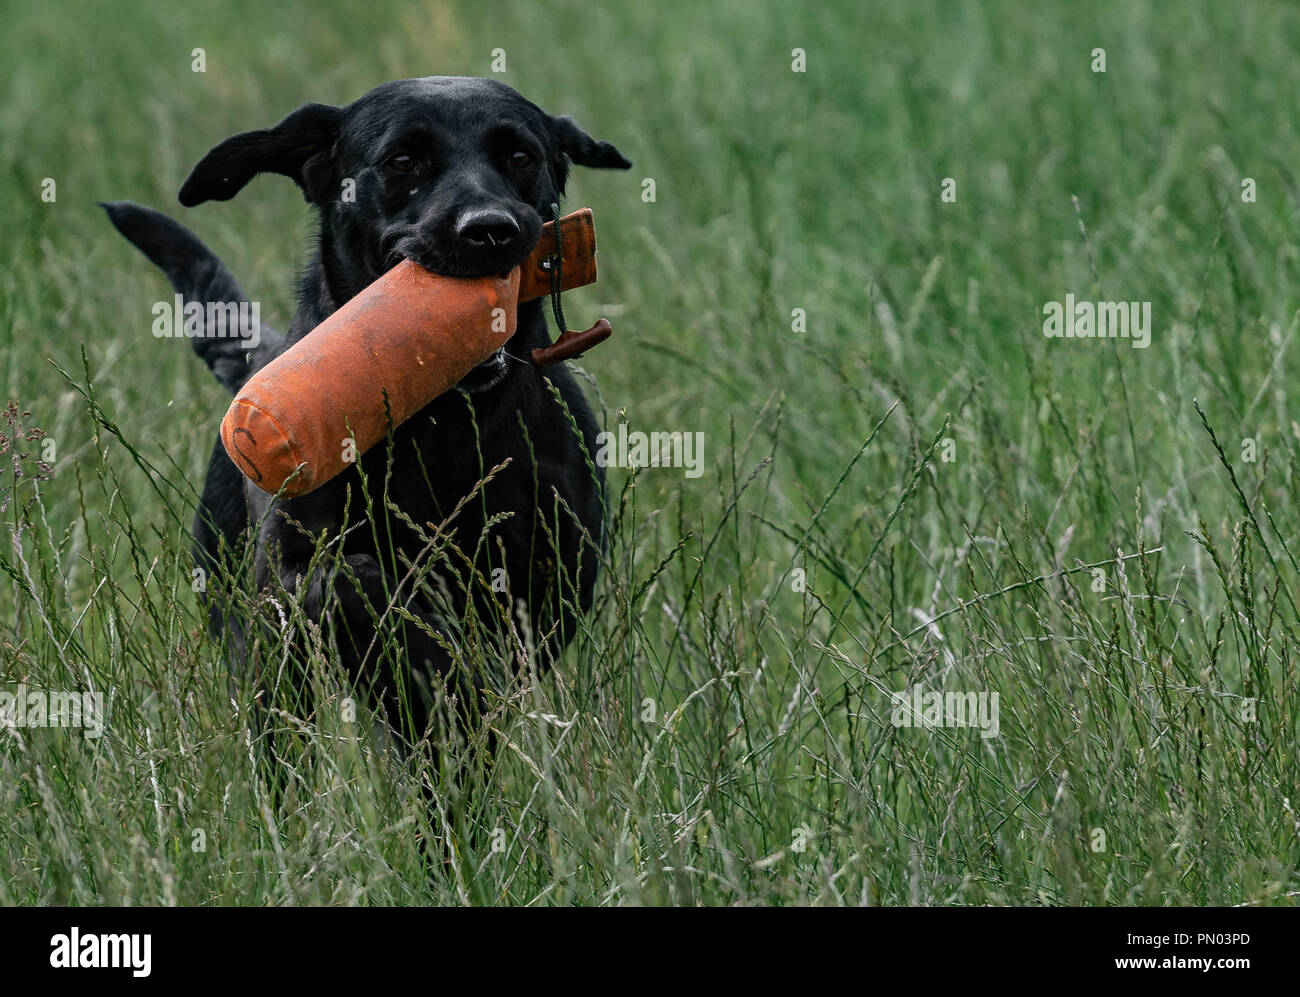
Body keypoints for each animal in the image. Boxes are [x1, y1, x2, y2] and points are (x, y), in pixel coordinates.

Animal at [109, 77, 626, 738]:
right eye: (402, 160)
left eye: (521, 156)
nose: (491, 229)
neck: (440, 424)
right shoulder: (286, 572)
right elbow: (356, 582)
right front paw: (433, 666)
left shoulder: (553, 576)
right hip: (257, 658)